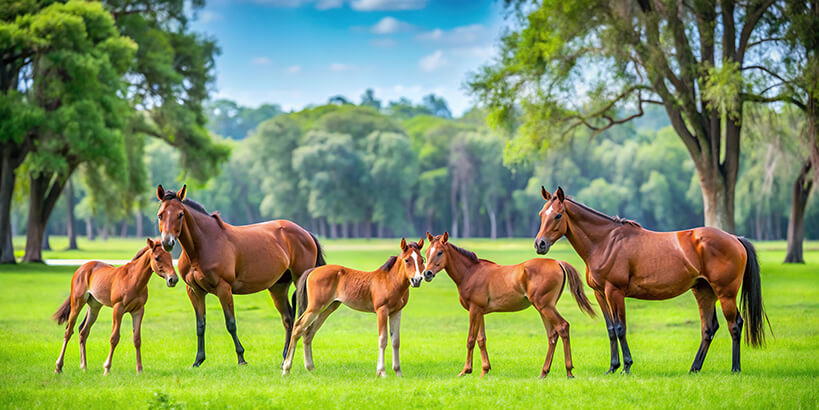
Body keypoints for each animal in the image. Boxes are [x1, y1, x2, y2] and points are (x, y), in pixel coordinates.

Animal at [53, 238, 179, 374]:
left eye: (170, 257)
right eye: (157, 258)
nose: (173, 279)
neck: (133, 280)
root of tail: (81, 268)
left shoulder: (138, 310)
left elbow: (137, 339)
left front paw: (139, 370)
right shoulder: (118, 309)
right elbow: (114, 338)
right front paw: (107, 368)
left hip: (94, 307)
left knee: (83, 332)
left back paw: (84, 366)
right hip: (77, 303)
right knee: (68, 331)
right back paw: (58, 367)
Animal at [155, 185, 325, 367]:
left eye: (180, 214)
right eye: (160, 214)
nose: (167, 242)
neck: (204, 244)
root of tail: (306, 233)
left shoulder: (224, 288)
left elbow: (231, 324)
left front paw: (241, 358)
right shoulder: (195, 291)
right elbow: (200, 325)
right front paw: (198, 361)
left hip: (300, 281)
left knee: (303, 318)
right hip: (278, 287)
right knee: (288, 319)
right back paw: (284, 358)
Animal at [282, 238, 426, 377]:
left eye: (422, 260)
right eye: (407, 260)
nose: (417, 280)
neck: (391, 280)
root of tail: (313, 270)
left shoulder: (396, 312)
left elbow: (396, 340)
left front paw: (398, 372)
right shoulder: (382, 311)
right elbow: (383, 339)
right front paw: (381, 372)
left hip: (328, 308)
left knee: (308, 333)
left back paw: (310, 367)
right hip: (315, 307)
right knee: (298, 327)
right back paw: (286, 369)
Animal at [422, 232, 596, 378]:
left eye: (440, 252)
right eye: (426, 252)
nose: (427, 274)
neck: (470, 272)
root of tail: (557, 262)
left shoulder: (474, 310)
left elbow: (471, 339)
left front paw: (465, 371)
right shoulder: (480, 312)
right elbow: (481, 340)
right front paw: (484, 371)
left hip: (545, 307)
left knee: (562, 327)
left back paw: (569, 371)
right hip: (544, 308)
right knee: (552, 335)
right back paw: (543, 373)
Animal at [534, 186, 769, 374]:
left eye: (558, 216)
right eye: (541, 214)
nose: (540, 244)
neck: (605, 242)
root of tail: (735, 238)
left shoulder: (615, 292)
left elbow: (620, 328)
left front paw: (626, 367)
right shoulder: (601, 294)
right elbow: (610, 330)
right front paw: (612, 368)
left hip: (726, 293)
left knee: (735, 325)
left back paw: (735, 369)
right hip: (704, 291)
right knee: (709, 328)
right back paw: (694, 368)